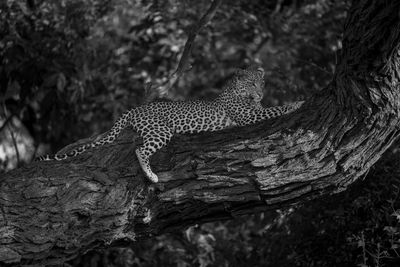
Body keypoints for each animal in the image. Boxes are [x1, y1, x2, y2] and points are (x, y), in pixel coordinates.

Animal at [36, 66, 304, 183]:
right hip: (160, 130)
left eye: (262, 83)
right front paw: (298, 102)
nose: (259, 93)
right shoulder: (248, 117)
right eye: (251, 84)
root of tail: (136, 108)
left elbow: (271, 107)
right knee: (140, 150)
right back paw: (151, 176)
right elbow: (275, 109)